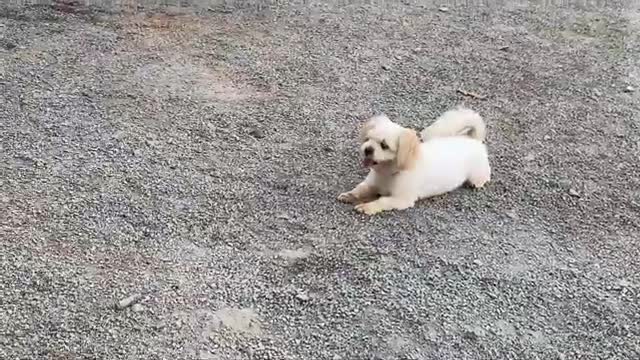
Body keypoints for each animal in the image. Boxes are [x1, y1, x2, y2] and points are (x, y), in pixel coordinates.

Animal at [340, 106, 490, 214]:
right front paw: (350, 195)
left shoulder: (400, 199)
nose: (368, 149)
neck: (387, 173)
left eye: (384, 145)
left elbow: (382, 201)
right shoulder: (371, 184)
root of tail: (472, 139)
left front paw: (367, 207)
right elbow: (360, 189)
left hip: (477, 172)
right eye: (367, 139)